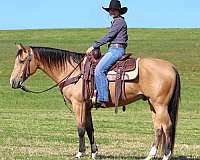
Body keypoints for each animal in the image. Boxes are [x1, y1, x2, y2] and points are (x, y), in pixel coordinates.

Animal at [9, 43, 181, 160]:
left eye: (22, 61)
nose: (13, 82)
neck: (73, 72)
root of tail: (171, 67)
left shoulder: (78, 104)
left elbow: (80, 128)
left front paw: (79, 153)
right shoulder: (86, 106)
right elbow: (90, 128)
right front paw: (93, 152)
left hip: (160, 105)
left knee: (167, 126)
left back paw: (166, 155)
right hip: (153, 105)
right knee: (158, 128)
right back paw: (150, 155)